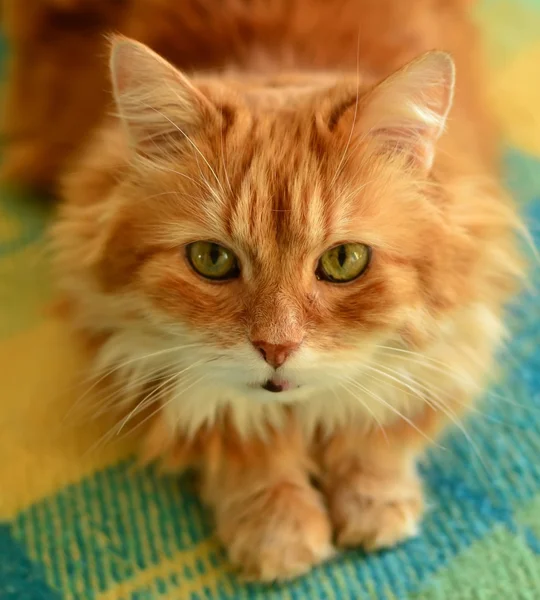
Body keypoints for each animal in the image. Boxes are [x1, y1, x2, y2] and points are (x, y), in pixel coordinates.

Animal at [31, 0, 520, 584]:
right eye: (211, 259)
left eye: (343, 261)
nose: (276, 348)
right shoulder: (136, 356)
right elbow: (246, 445)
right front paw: (280, 537)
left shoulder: (450, 344)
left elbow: (376, 430)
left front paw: (374, 506)